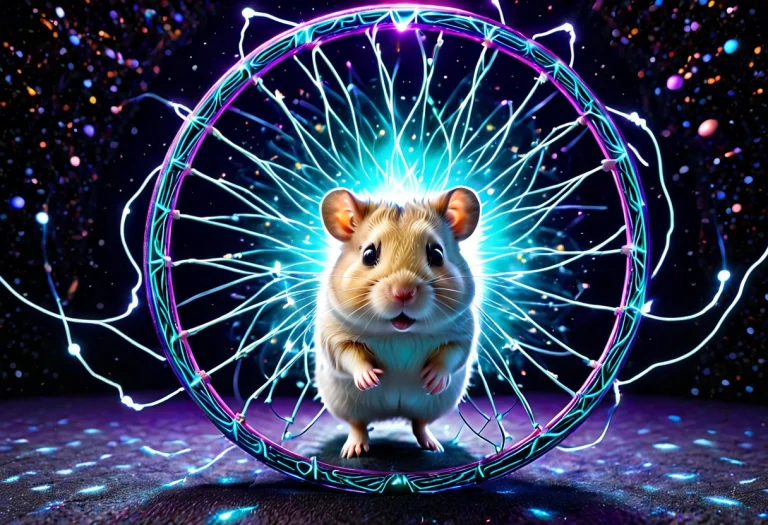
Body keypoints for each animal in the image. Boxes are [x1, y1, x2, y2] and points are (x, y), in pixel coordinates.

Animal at [314, 187, 480, 458]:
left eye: (436, 254)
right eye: (368, 254)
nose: (403, 292)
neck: (400, 333)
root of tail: (391, 414)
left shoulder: (462, 334)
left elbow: (451, 355)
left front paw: (431, 379)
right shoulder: (333, 336)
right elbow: (349, 355)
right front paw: (371, 379)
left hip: (431, 407)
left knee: (419, 424)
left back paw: (433, 446)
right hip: (348, 406)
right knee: (358, 425)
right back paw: (353, 450)